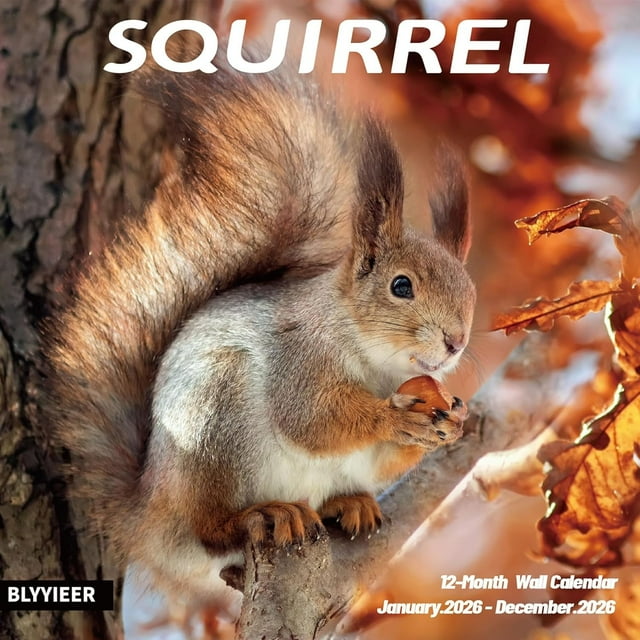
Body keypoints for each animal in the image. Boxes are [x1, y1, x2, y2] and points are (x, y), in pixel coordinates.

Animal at [46, 56, 475, 605]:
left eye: (470, 290)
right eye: (401, 286)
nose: (455, 342)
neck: (379, 365)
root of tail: (149, 521)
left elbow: (380, 458)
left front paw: (452, 422)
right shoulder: (299, 357)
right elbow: (310, 420)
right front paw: (394, 416)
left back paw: (346, 503)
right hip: (216, 420)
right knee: (211, 532)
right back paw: (264, 514)